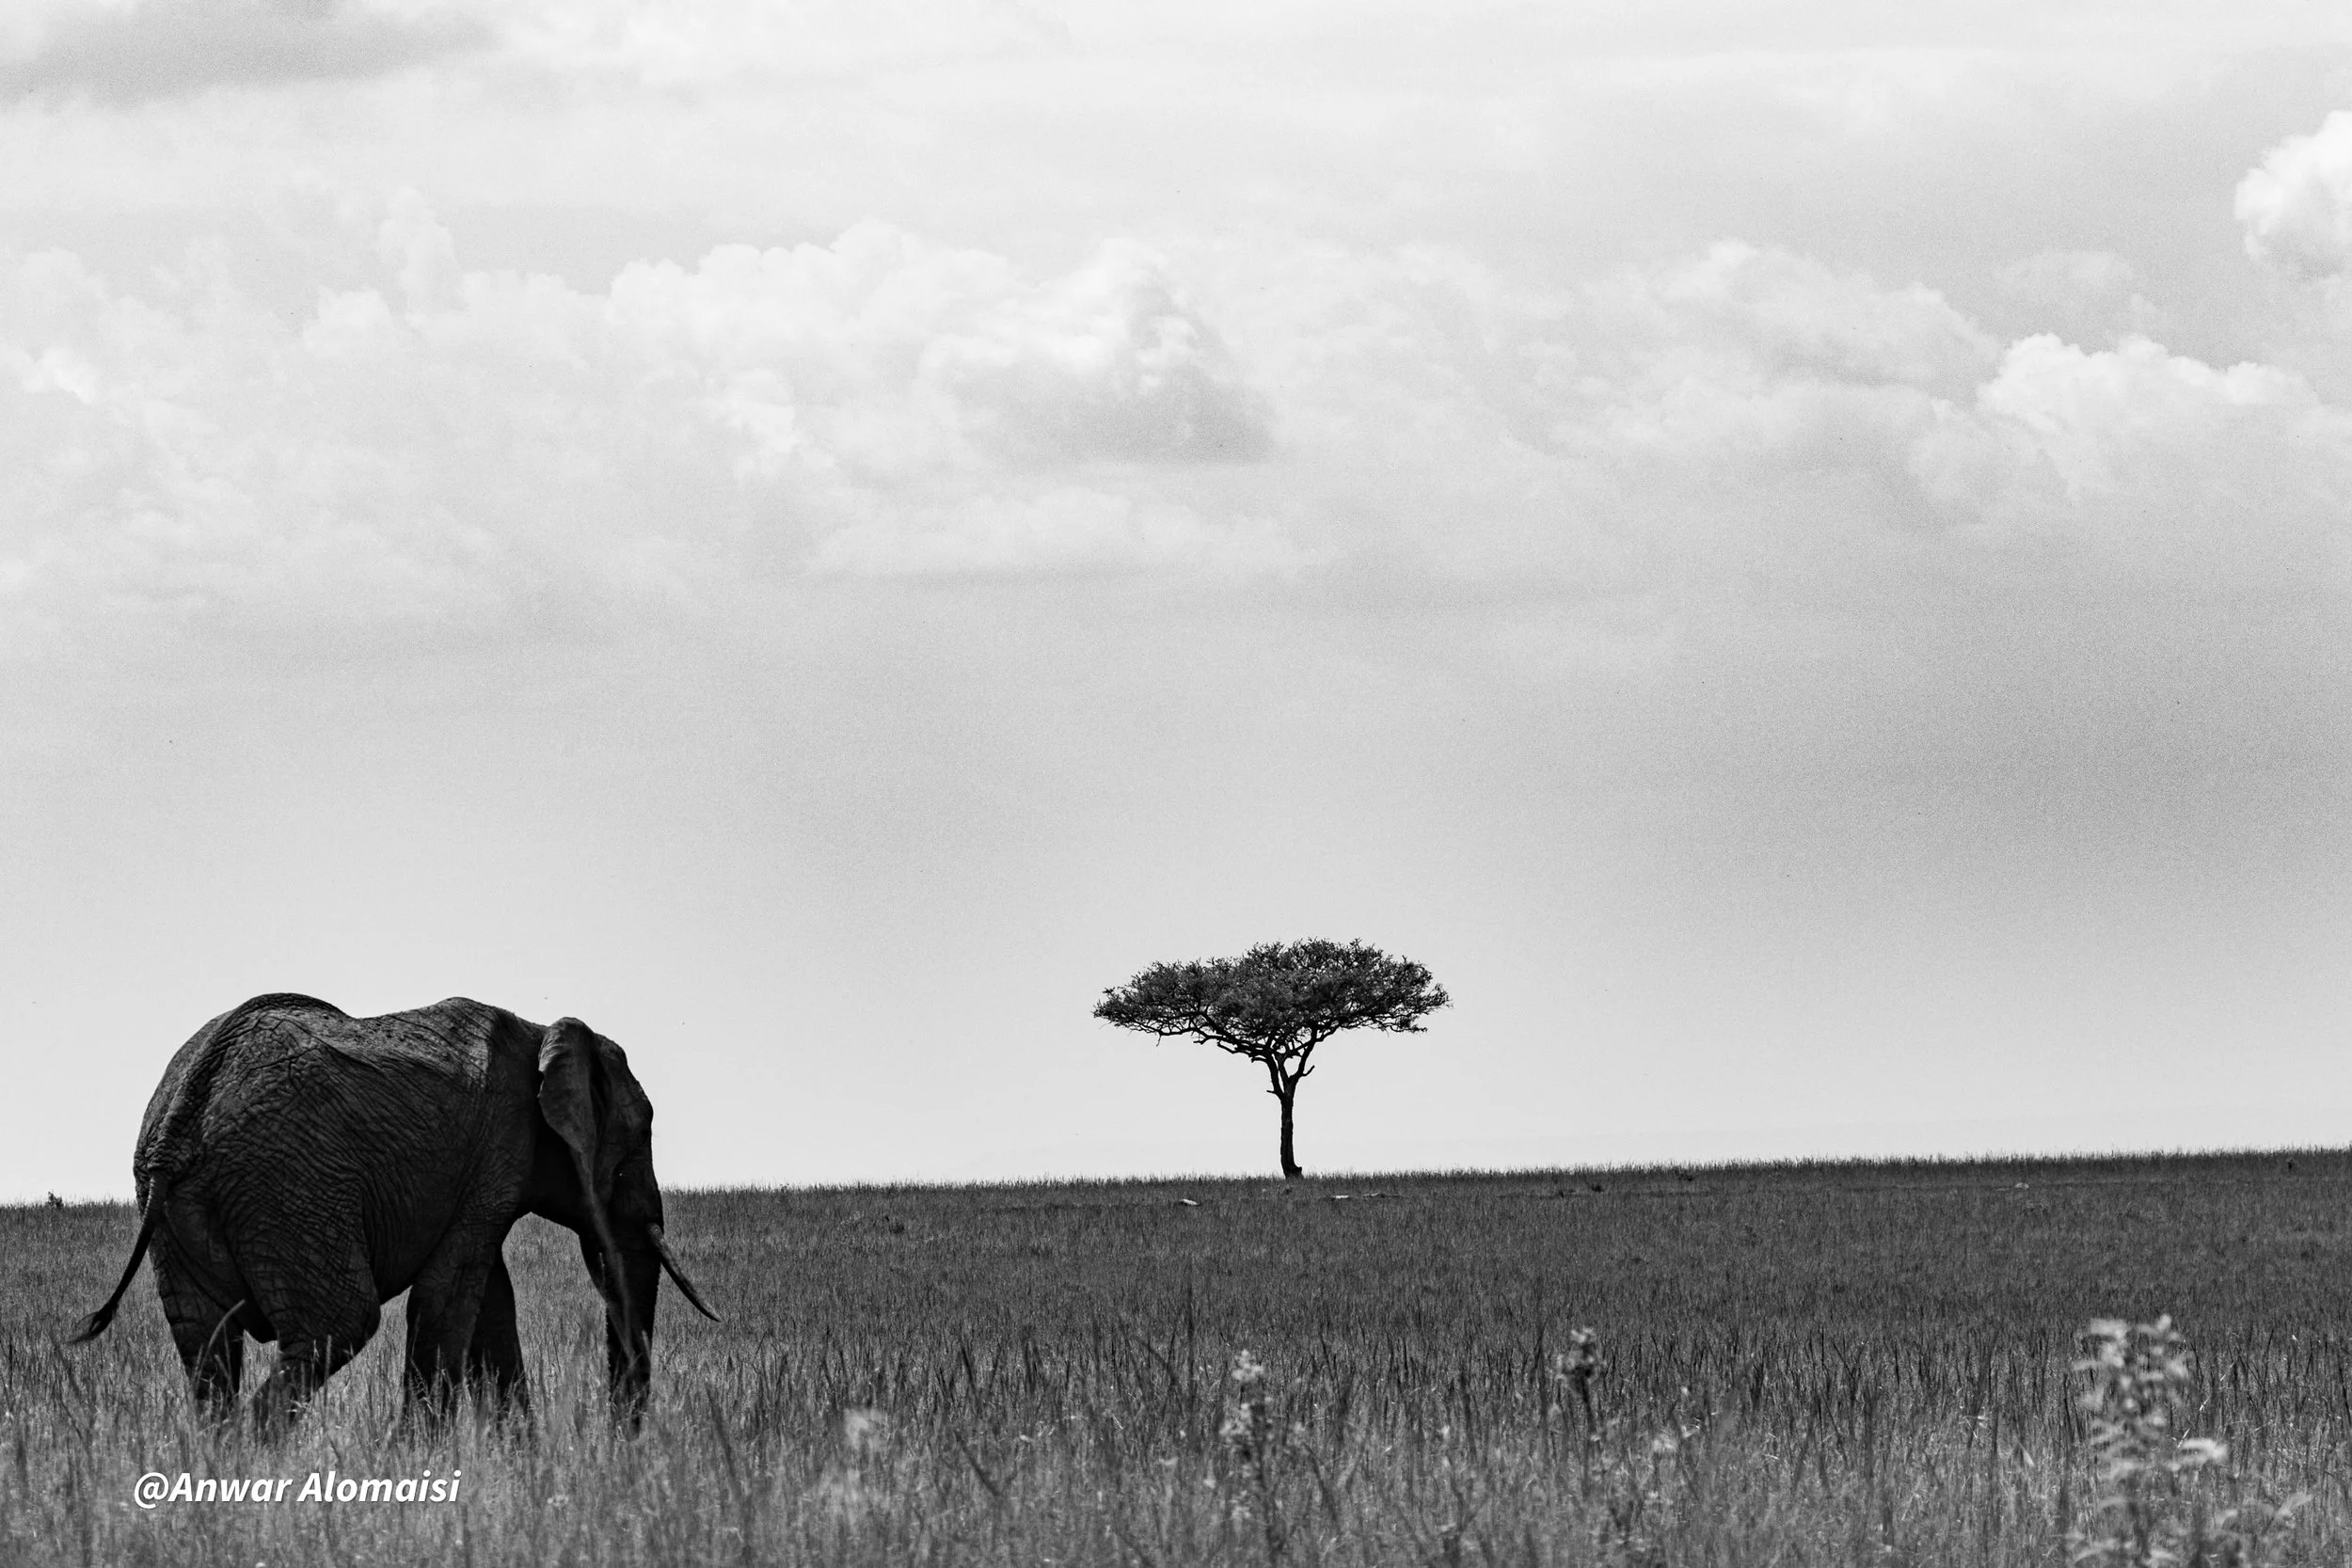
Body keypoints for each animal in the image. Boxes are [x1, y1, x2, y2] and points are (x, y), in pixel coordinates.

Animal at [72, 993, 717, 1431]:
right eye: (640, 1140)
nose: (618, 1453)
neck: (543, 1032)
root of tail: (183, 1109)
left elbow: (490, 1300)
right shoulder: (498, 1148)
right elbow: (452, 1292)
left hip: (182, 1209)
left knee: (206, 1345)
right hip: (290, 1185)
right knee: (339, 1322)